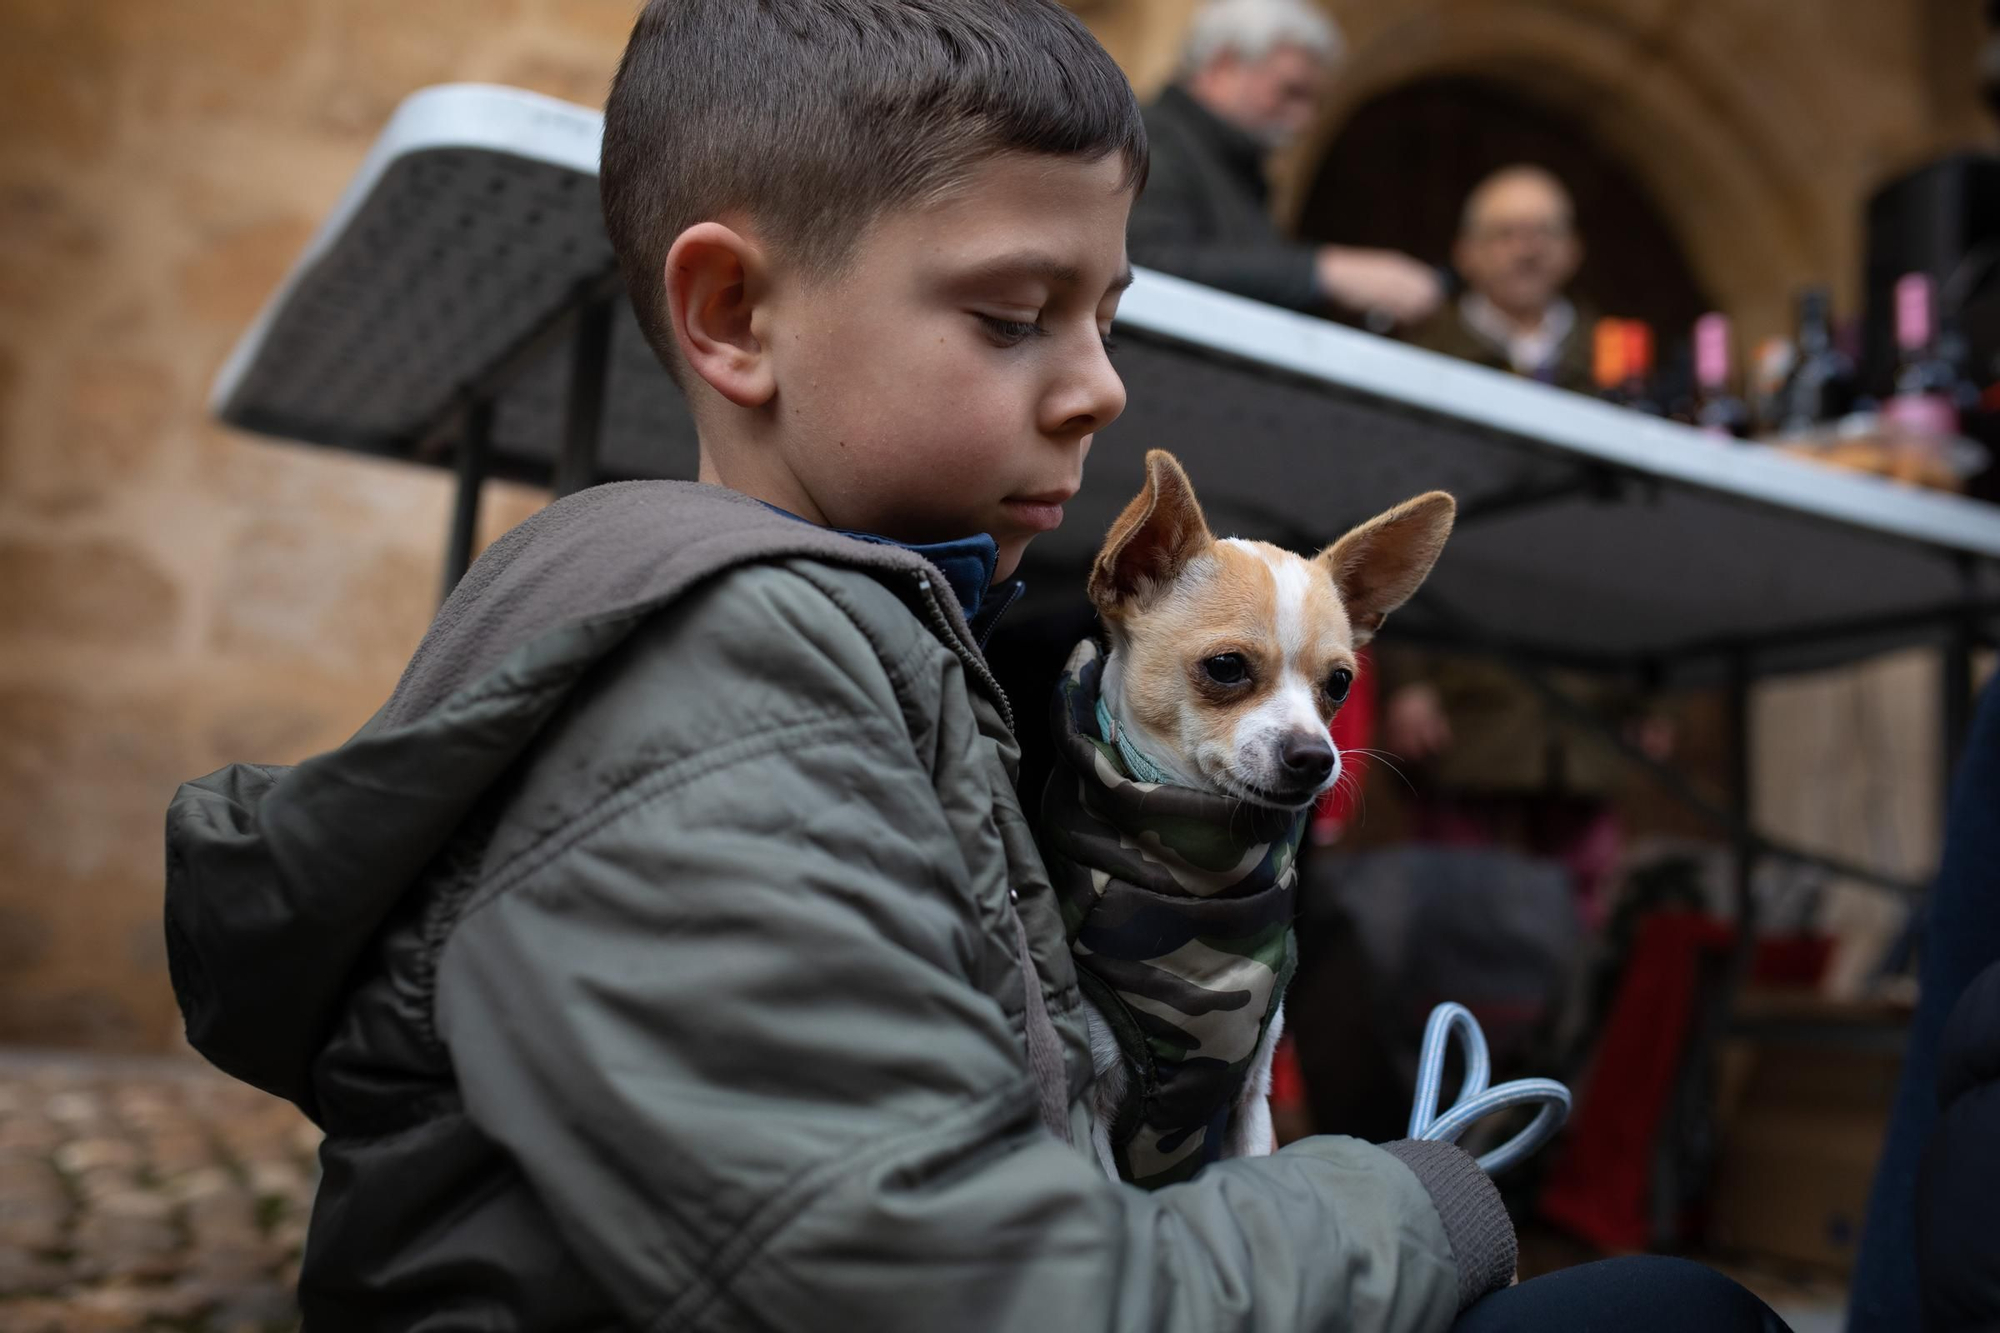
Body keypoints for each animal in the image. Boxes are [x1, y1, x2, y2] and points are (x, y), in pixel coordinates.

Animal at [1064, 448, 1456, 1176]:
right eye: (1226, 667)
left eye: (1340, 684)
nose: (1316, 756)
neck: (1205, 880)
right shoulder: (1092, 1112)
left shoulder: (1249, 1099)